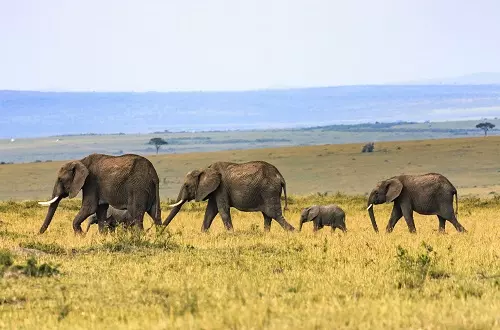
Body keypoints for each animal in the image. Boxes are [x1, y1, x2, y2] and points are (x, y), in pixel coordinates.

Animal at [164, 160, 294, 232]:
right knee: (267, 215)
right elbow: (210, 211)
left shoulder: (221, 188)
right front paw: (203, 234)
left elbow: (223, 210)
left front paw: (231, 234)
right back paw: (266, 234)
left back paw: (293, 232)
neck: (205, 169)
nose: (160, 231)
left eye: (186, 185)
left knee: (274, 214)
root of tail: (280, 177)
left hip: (269, 191)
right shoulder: (215, 190)